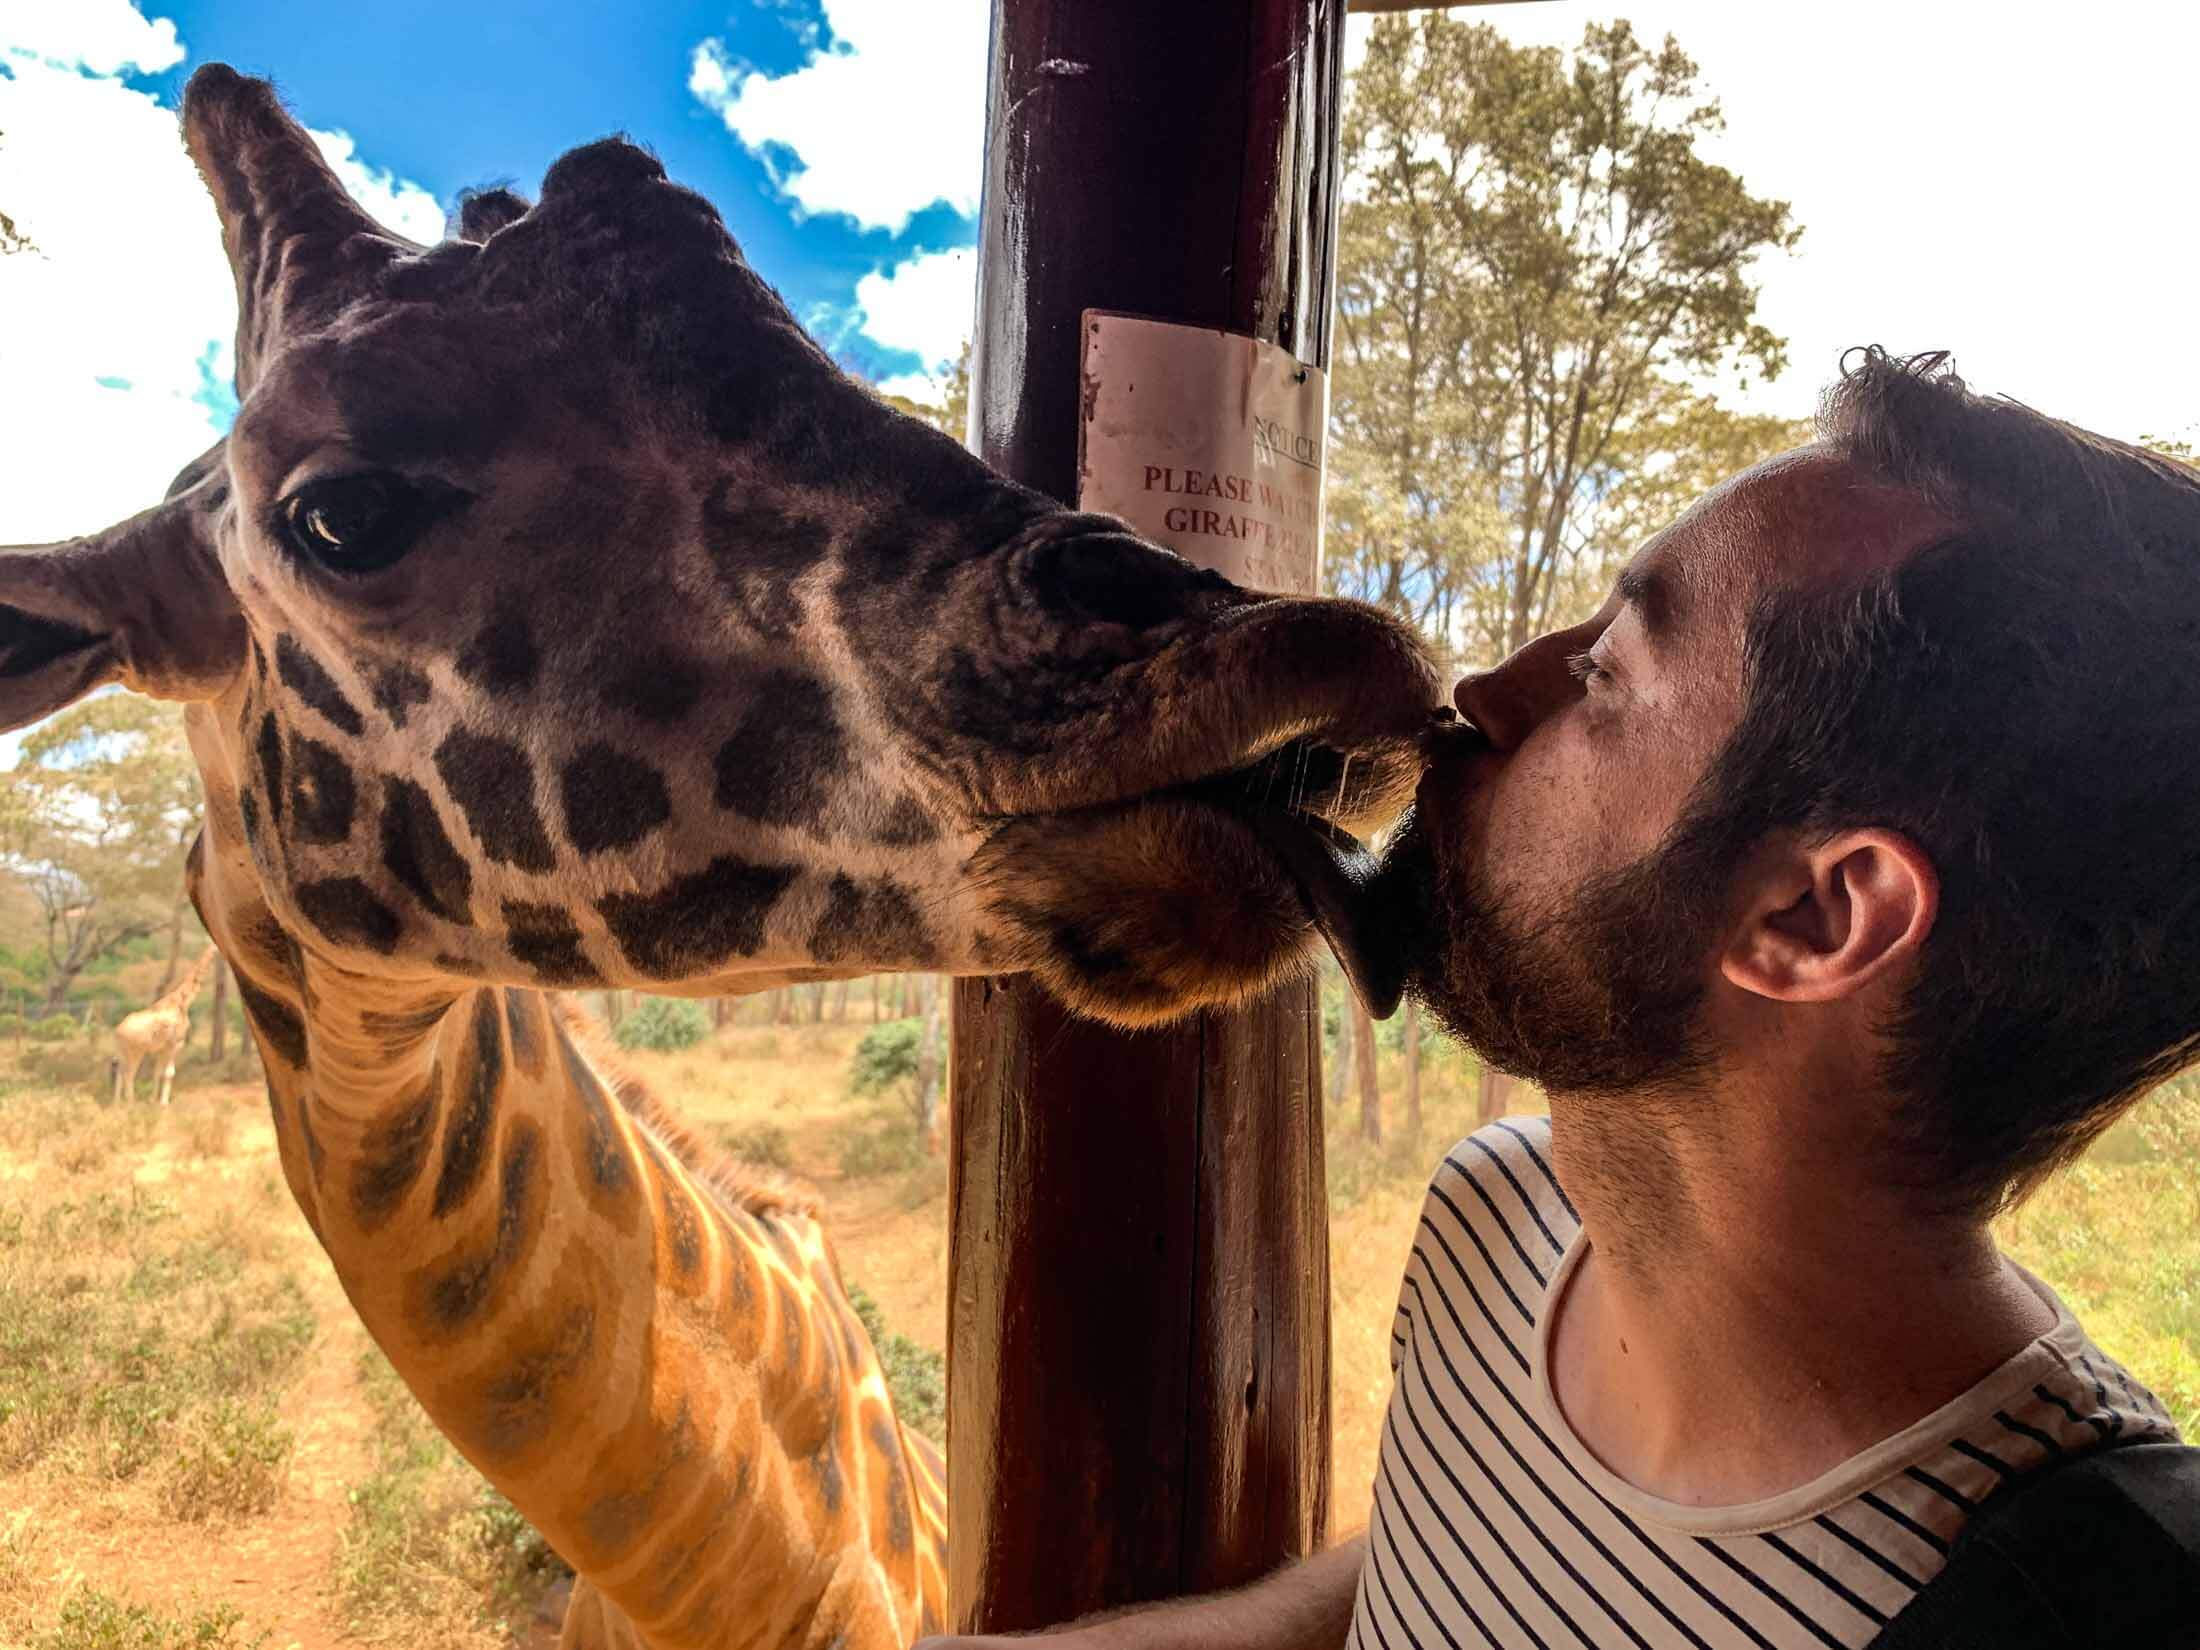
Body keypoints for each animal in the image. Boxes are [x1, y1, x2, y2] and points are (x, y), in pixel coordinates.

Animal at [109, 941, 219, 1105]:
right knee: (129, 1074)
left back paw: (117, 1104)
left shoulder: (162, 1048)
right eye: (214, 945)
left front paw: (152, 1100)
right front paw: (163, 1103)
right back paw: (131, 1104)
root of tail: (117, 1032)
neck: (182, 1001)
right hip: (135, 1051)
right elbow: (169, 1073)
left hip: (122, 1052)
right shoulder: (175, 1044)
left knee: (119, 1072)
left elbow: (158, 1072)